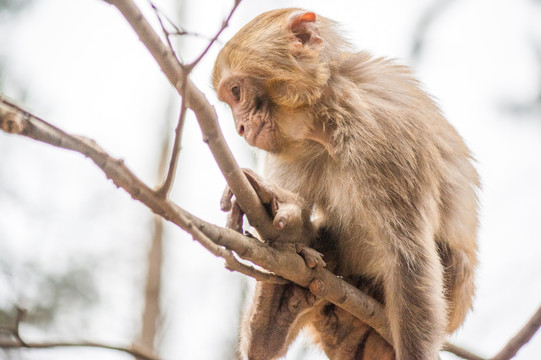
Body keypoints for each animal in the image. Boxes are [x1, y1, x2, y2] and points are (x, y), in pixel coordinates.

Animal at [213, 8, 478, 360]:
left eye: (237, 92)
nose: (240, 128)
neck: (325, 123)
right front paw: (282, 215)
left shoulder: (383, 136)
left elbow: (408, 258)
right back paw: (277, 310)